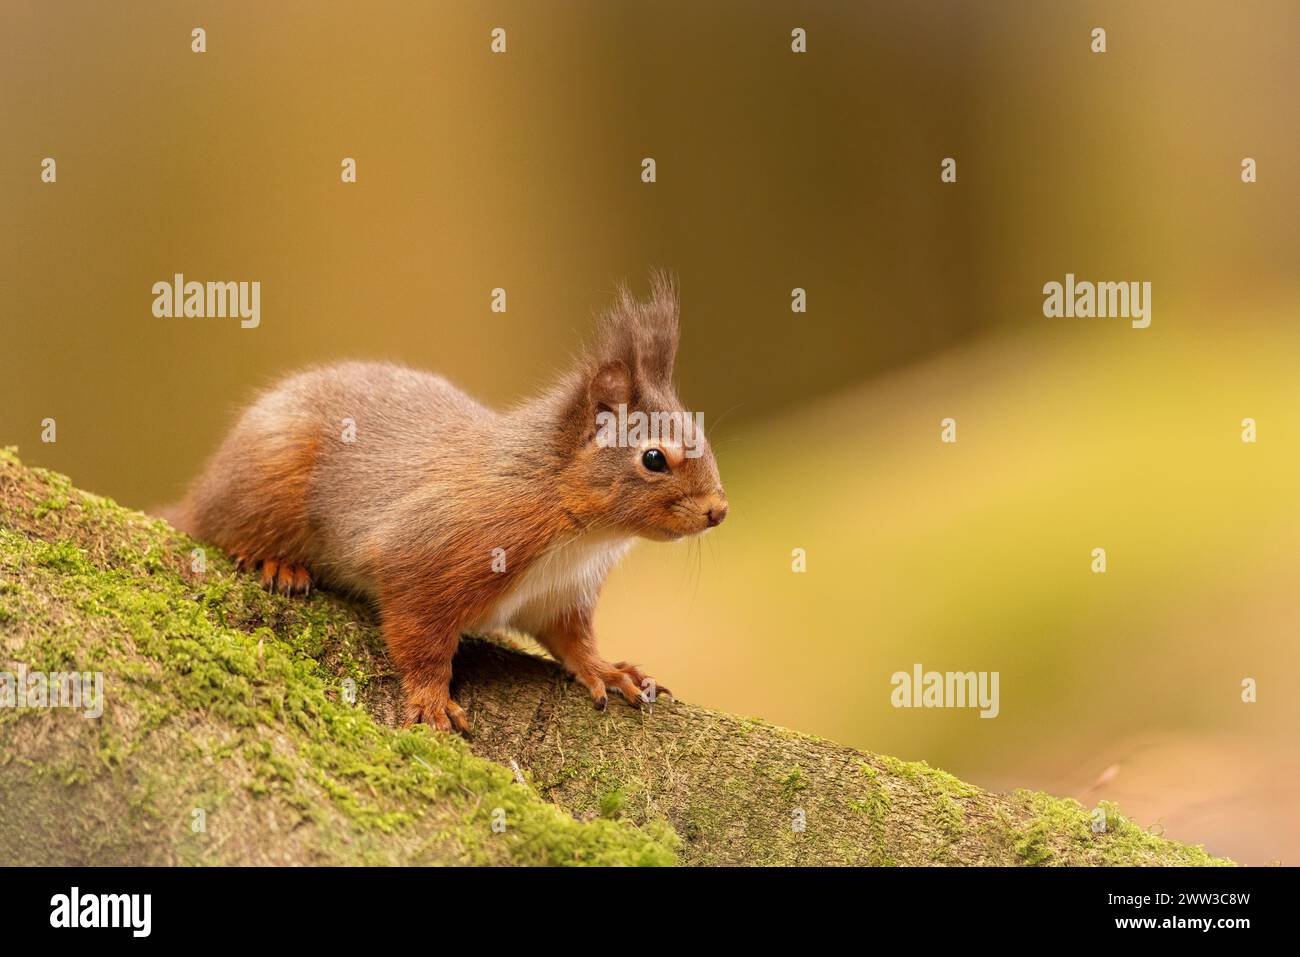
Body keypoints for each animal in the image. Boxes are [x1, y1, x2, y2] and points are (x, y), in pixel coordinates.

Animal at [163, 274, 727, 732]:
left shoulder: (562, 595)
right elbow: (419, 637)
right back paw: (276, 562)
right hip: (266, 483)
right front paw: (430, 700)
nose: (718, 511)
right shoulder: (431, 552)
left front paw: (607, 670)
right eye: (653, 458)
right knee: (223, 529)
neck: (582, 533)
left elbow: (573, 641)